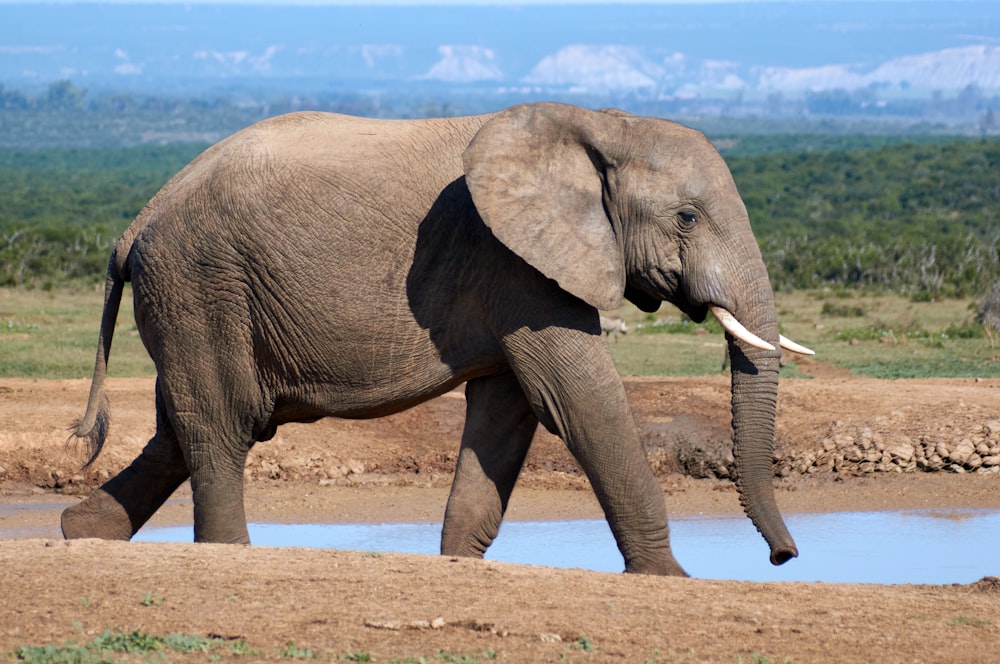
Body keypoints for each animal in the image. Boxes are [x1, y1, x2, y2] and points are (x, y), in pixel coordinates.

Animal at [60, 101, 812, 572]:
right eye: (687, 217)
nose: (784, 556)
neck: (600, 125)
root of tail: (136, 222)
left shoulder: (516, 273)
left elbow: (508, 412)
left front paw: (457, 564)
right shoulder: (514, 261)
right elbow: (578, 399)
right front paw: (668, 577)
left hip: (194, 298)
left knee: (181, 426)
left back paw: (80, 533)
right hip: (201, 283)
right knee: (222, 423)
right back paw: (223, 553)